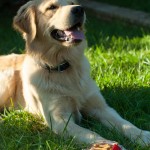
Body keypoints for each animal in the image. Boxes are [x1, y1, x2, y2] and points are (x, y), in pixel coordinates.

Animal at [0, 0, 150, 148]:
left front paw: (142, 135)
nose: (79, 9)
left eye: (72, 3)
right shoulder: (59, 119)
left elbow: (125, 123)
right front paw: (106, 144)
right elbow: (89, 133)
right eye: (52, 7)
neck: (65, 65)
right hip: (8, 77)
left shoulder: (101, 107)